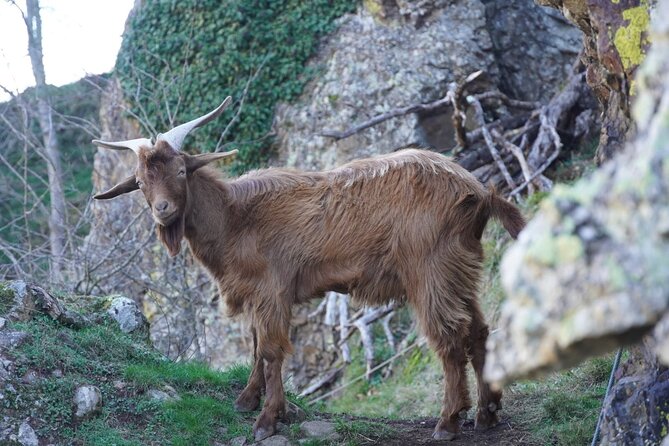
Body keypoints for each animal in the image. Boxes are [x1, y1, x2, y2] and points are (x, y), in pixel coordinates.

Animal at [94, 96, 524, 440]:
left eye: (181, 171)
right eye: (140, 181)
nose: (163, 210)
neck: (235, 217)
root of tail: (479, 191)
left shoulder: (272, 290)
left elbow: (271, 350)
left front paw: (268, 419)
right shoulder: (256, 294)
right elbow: (255, 345)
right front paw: (247, 400)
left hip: (430, 269)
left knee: (449, 337)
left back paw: (449, 421)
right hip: (460, 269)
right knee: (479, 331)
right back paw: (487, 413)